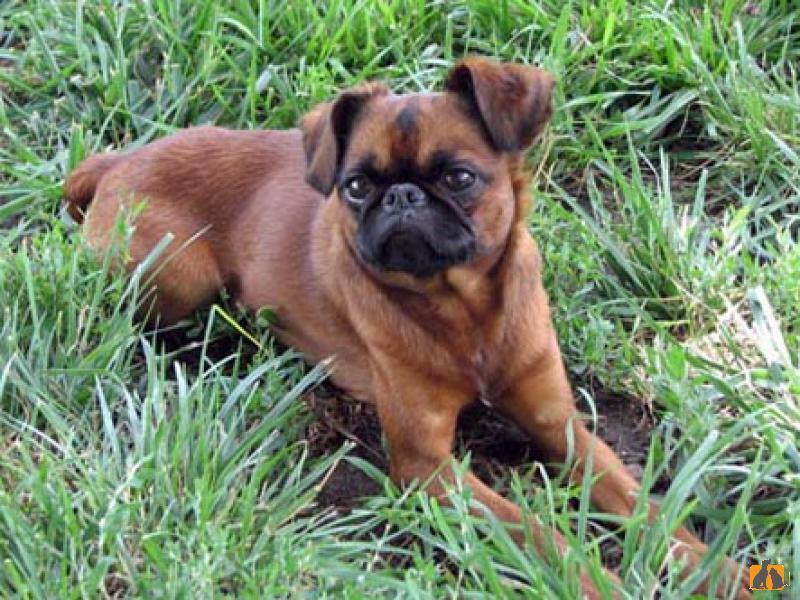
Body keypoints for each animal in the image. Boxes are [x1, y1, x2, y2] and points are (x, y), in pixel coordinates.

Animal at [65, 58, 749, 599]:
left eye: (458, 178)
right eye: (357, 186)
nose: (400, 197)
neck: (463, 313)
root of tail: (122, 157)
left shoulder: (561, 426)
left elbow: (635, 499)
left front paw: (710, 567)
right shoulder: (428, 469)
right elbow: (535, 532)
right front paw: (592, 581)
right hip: (178, 271)